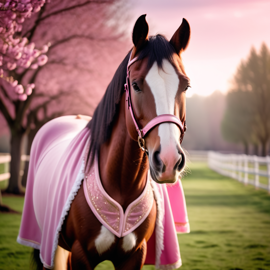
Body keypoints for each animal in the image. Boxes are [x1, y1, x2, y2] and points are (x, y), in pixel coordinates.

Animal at [17, 15, 191, 270]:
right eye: (136, 84)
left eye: (185, 85)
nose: (169, 161)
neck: (122, 185)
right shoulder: (81, 254)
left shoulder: (135, 255)